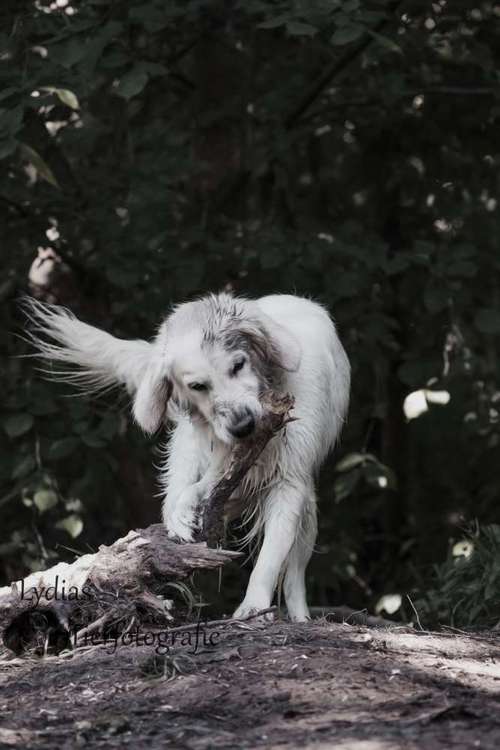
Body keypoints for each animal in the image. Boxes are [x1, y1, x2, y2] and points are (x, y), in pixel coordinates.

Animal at [25, 294, 350, 624]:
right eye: (197, 386)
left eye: (238, 365)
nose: (243, 426)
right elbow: (206, 485)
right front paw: (184, 513)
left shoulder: (289, 479)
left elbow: (269, 558)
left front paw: (254, 606)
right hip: (188, 447)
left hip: (307, 511)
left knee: (295, 573)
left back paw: (301, 617)